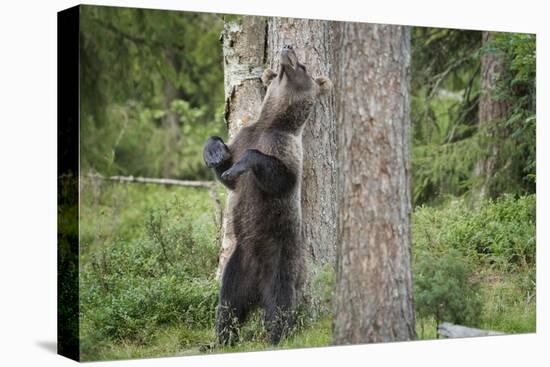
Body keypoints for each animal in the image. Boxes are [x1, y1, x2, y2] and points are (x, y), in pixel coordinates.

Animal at [204, 44, 330, 346]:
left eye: (303, 67)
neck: (272, 123)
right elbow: (226, 172)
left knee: (280, 304)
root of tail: (256, 289)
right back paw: (222, 338)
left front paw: (241, 166)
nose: (287, 47)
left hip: (281, 258)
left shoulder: (285, 149)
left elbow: (278, 177)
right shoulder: (244, 136)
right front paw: (215, 152)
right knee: (228, 305)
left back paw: (276, 336)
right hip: (237, 265)